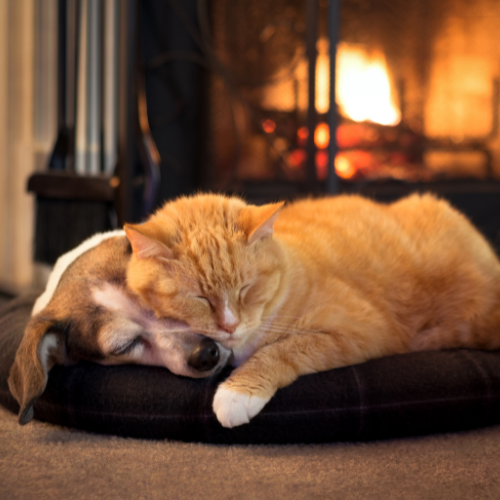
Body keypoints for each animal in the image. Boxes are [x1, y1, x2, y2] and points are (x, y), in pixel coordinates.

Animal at [123, 193, 500, 428]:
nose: (230, 325)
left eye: (246, 288)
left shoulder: (362, 331)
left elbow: (283, 349)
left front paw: (237, 392)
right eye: (200, 297)